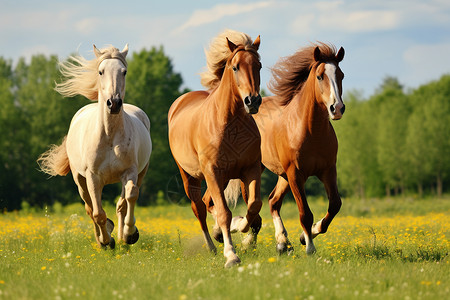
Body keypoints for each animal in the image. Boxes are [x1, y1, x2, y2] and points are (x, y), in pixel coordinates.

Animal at [37, 44, 153, 248]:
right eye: (101, 71)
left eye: (124, 71)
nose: (114, 103)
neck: (109, 136)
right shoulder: (93, 177)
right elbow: (98, 213)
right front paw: (107, 241)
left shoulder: (130, 171)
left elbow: (130, 196)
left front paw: (129, 234)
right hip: (80, 180)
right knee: (90, 208)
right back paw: (103, 239)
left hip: (141, 171)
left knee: (122, 204)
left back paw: (122, 238)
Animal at [167, 29, 262, 268]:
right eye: (235, 67)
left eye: (259, 65)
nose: (252, 101)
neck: (230, 123)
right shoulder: (212, 171)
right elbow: (224, 213)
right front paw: (231, 255)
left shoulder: (250, 169)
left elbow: (254, 206)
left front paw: (240, 230)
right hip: (192, 176)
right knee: (199, 208)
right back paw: (212, 246)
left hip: (222, 178)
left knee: (208, 202)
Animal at [255, 42, 346, 255]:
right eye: (320, 76)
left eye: (341, 75)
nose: (337, 108)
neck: (311, 131)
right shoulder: (296, 174)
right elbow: (305, 212)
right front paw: (310, 247)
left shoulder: (328, 170)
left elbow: (335, 204)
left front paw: (308, 234)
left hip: (282, 175)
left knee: (273, 201)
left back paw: (282, 243)